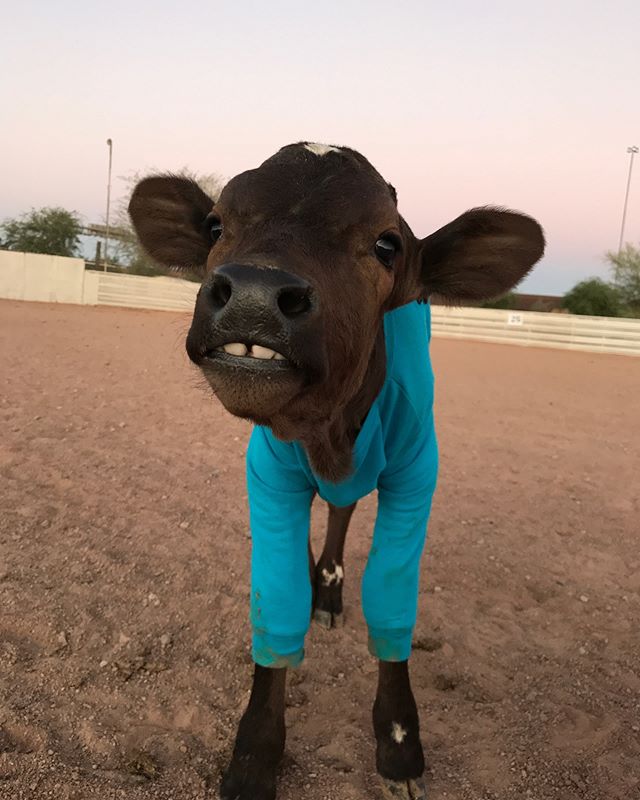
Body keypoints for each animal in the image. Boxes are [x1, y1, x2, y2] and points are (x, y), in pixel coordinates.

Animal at [128, 142, 544, 800]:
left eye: (386, 244)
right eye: (217, 224)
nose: (253, 294)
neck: (329, 431)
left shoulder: (416, 478)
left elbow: (390, 597)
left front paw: (399, 741)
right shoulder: (269, 474)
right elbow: (275, 598)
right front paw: (254, 756)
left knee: (343, 510)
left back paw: (327, 587)